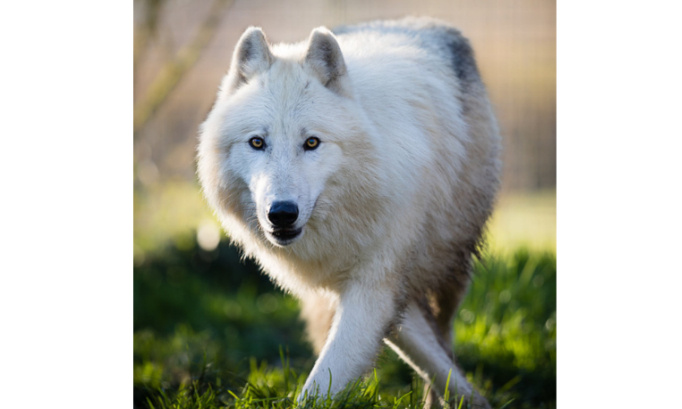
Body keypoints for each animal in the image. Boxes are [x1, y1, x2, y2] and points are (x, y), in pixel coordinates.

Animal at [197, 16, 500, 408]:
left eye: (312, 142)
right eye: (257, 142)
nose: (282, 213)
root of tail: (425, 22)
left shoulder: (377, 285)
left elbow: (324, 382)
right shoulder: (376, 291)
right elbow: (417, 354)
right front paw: (469, 398)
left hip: (450, 266)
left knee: (444, 332)